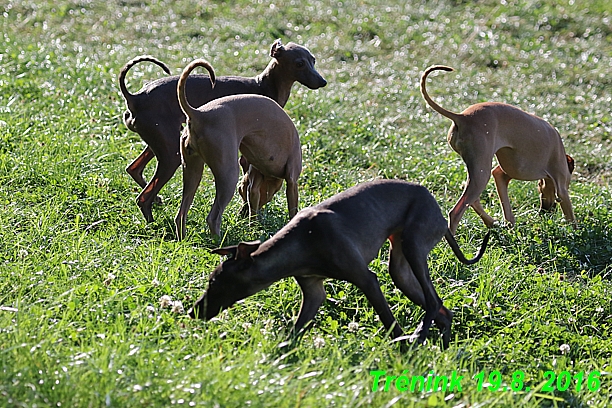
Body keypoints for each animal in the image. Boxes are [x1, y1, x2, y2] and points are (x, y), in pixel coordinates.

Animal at [175, 60, 302, 239]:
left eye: (243, 193)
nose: (242, 214)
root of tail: (198, 113)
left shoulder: (253, 183)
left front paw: (253, 227)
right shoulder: (292, 180)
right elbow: (293, 210)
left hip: (192, 170)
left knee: (181, 215)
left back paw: (183, 240)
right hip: (228, 175)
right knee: (213, 218)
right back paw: (220, 241)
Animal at [418, 65, 576, 234]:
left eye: (539, 188)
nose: (544, 212)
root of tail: (461, 117)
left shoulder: (501, 174)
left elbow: (506, 206)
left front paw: (510, 225)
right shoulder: (561, 186)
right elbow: (570, 215)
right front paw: (576, 233)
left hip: (478, 171)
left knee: (473, 201)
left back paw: (492, 223)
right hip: (481, 172)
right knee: (455, 212)